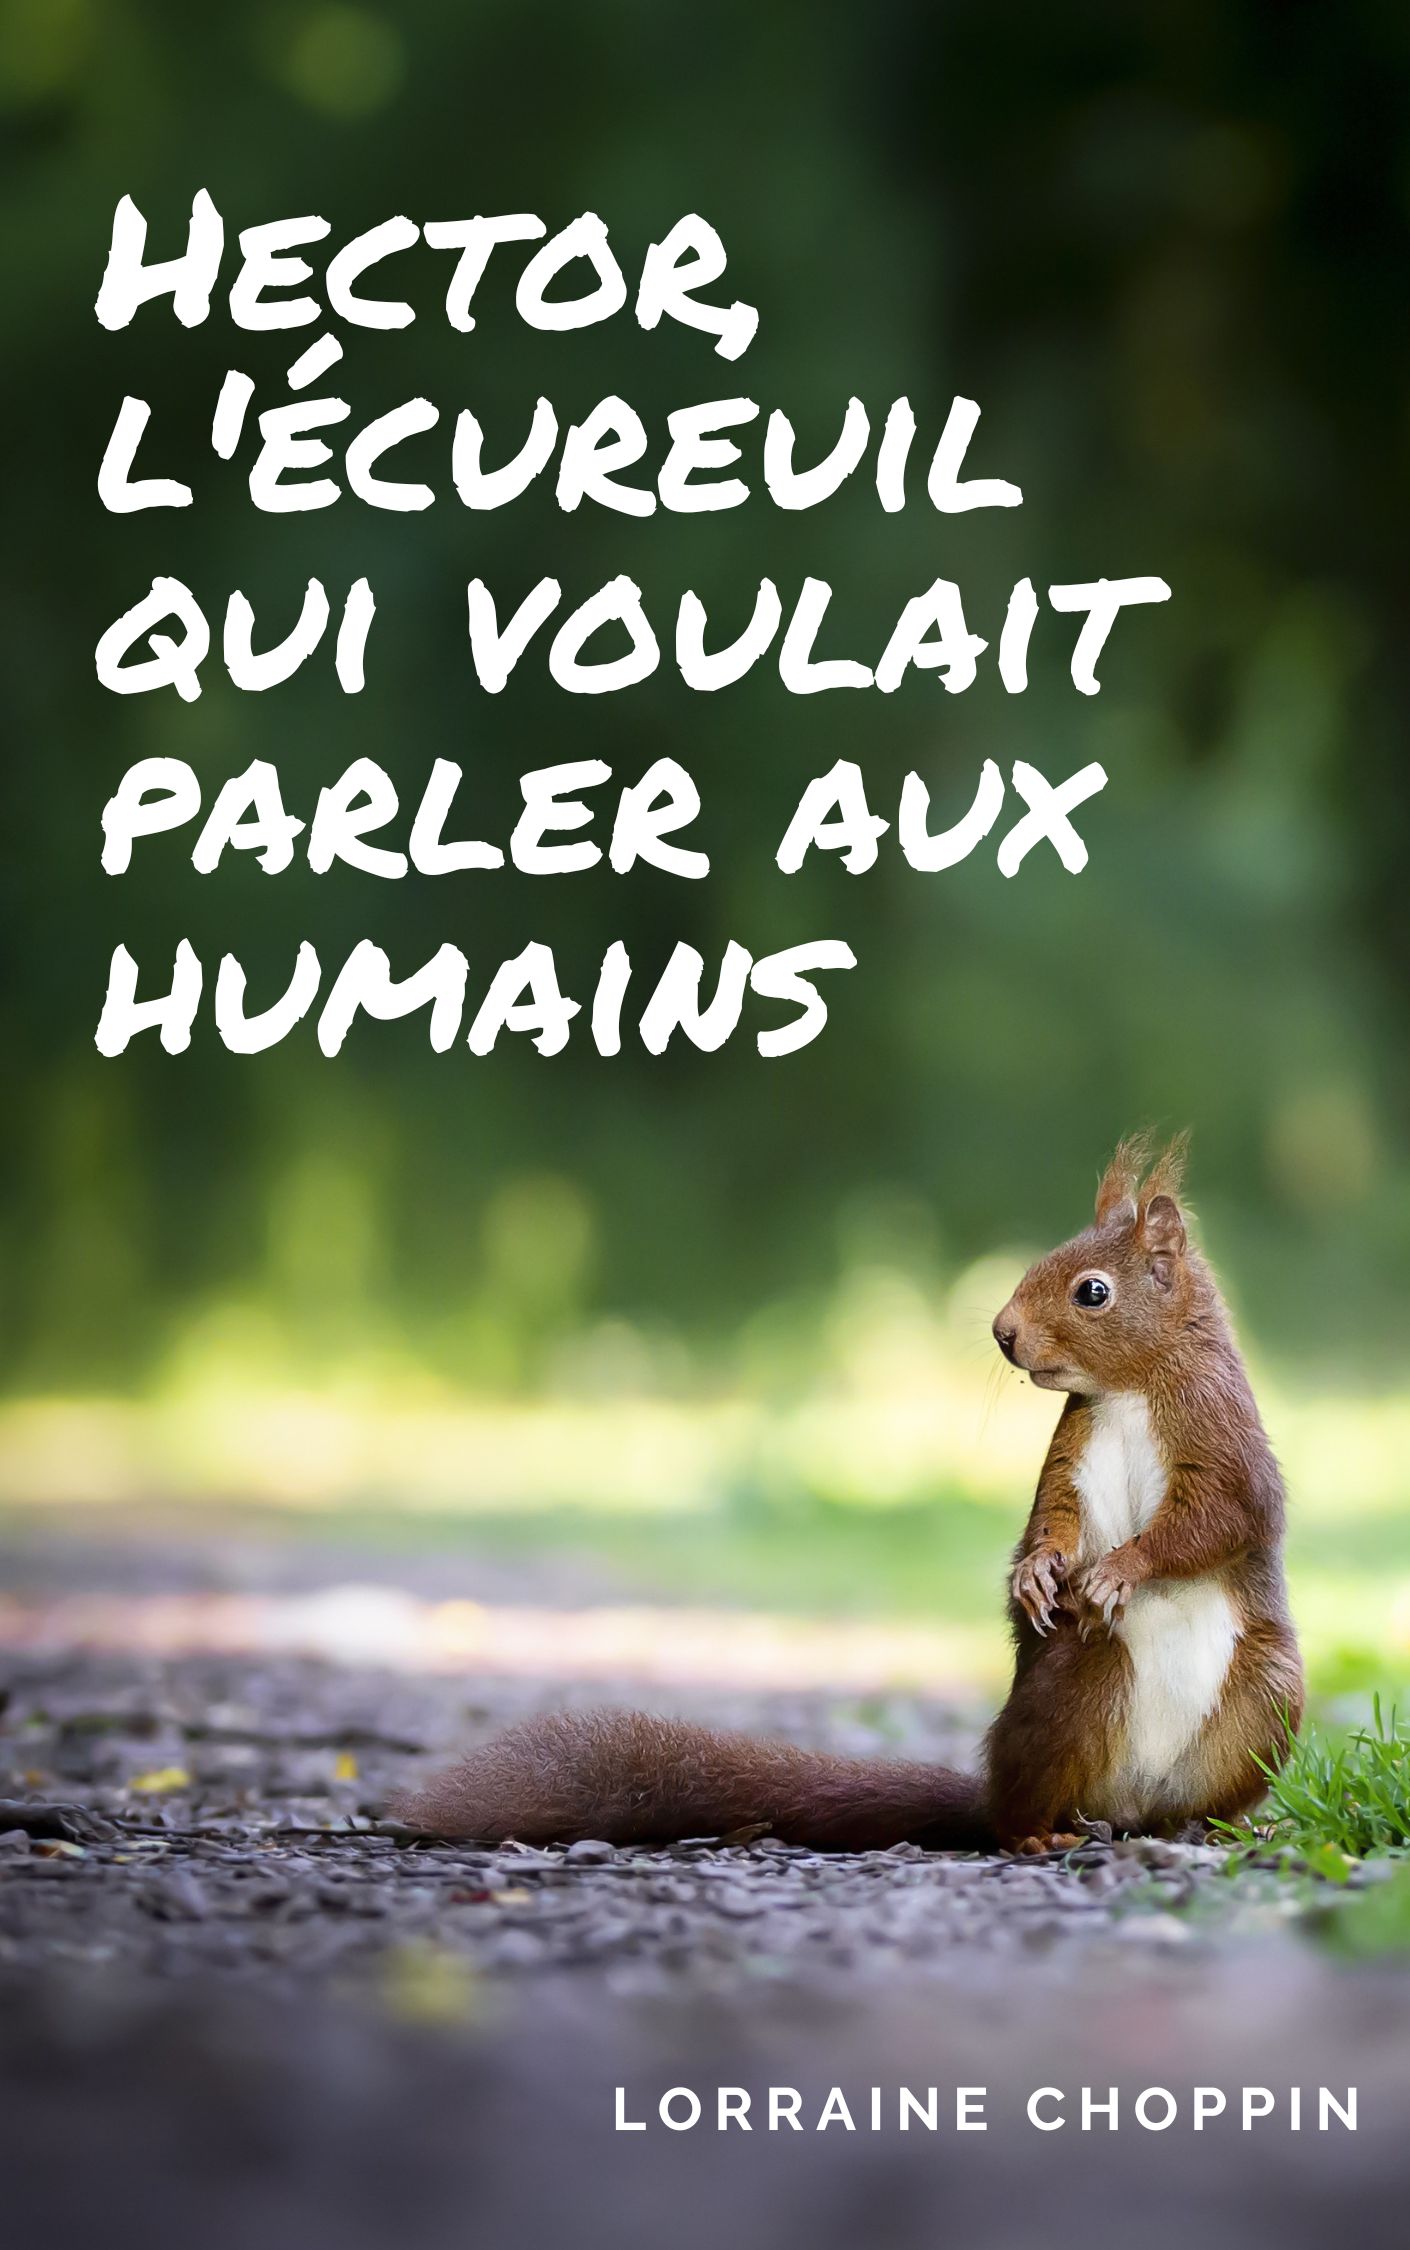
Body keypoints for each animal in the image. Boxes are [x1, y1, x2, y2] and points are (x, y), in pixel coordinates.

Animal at [390, 1135, 1303, 1854]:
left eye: (1093, 1290)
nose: (1003, 1332)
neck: (1129, 1390)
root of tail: (1128, 1804)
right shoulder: (1071, 1452)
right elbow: (1054, 1519)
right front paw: (1037, 1573)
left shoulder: (1222, 1440)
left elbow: (1218, 1519)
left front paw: (1120, 1569)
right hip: (1078, 1684)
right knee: (1024, 1804)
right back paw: (1039, 1833)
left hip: (1266, 1696)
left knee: (1195, 1796)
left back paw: (1219, 1825)